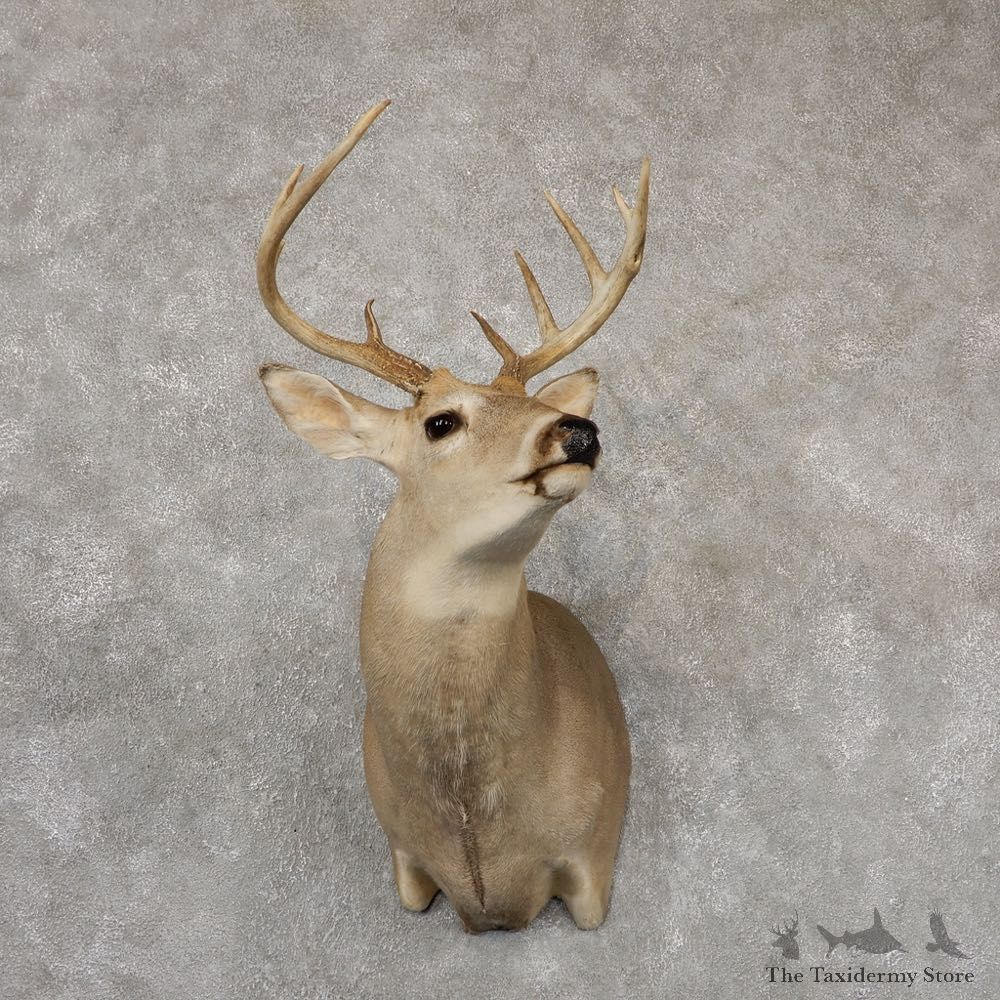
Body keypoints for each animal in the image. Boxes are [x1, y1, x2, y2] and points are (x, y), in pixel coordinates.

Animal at [256, 101, 648, 933]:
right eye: (441, 422)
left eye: (535, 405)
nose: (578, 431)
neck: (475, 832)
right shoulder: (404, 861)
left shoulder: (592, 862)